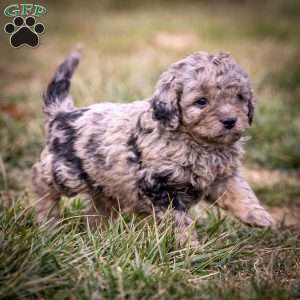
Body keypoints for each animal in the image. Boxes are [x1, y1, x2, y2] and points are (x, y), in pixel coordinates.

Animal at [32, 50, 274, 245]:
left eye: (239, 97)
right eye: (201, 102)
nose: (230, 121)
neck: (201, 145)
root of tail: (63, 113)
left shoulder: (221, 177)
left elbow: (240, 192)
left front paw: (259, 217)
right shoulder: (160, 187)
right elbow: (181, 222)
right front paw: (190, 248)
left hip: (106, 185)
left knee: (98, 209)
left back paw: (100, 235)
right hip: (66, 170)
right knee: (40, 179)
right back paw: (48, 219)